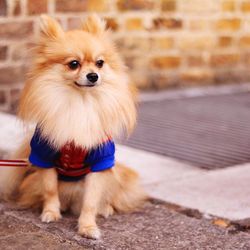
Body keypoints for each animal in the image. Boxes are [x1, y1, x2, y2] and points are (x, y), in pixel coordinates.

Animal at [0, 14, 146, 239]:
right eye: (74, 64)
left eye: (100, 63)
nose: (93, 75)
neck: (80, 103)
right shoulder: (44, 157)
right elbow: (50, 189)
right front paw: (51, 212)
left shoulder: (100, 162)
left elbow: (91, 200)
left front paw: (88, 227)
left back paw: (105, 208)